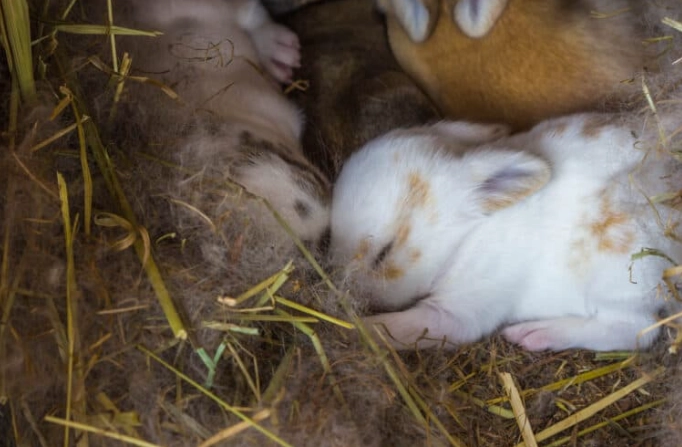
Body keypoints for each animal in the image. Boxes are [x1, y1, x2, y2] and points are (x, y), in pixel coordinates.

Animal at [330, 113, 681, 351]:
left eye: (384, 253)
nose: (350, 293)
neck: (464, 239)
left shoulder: (459, 312)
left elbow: (403, 327)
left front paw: (355, 327)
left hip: (620, 278)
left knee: (635, 331)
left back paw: (535, 334)